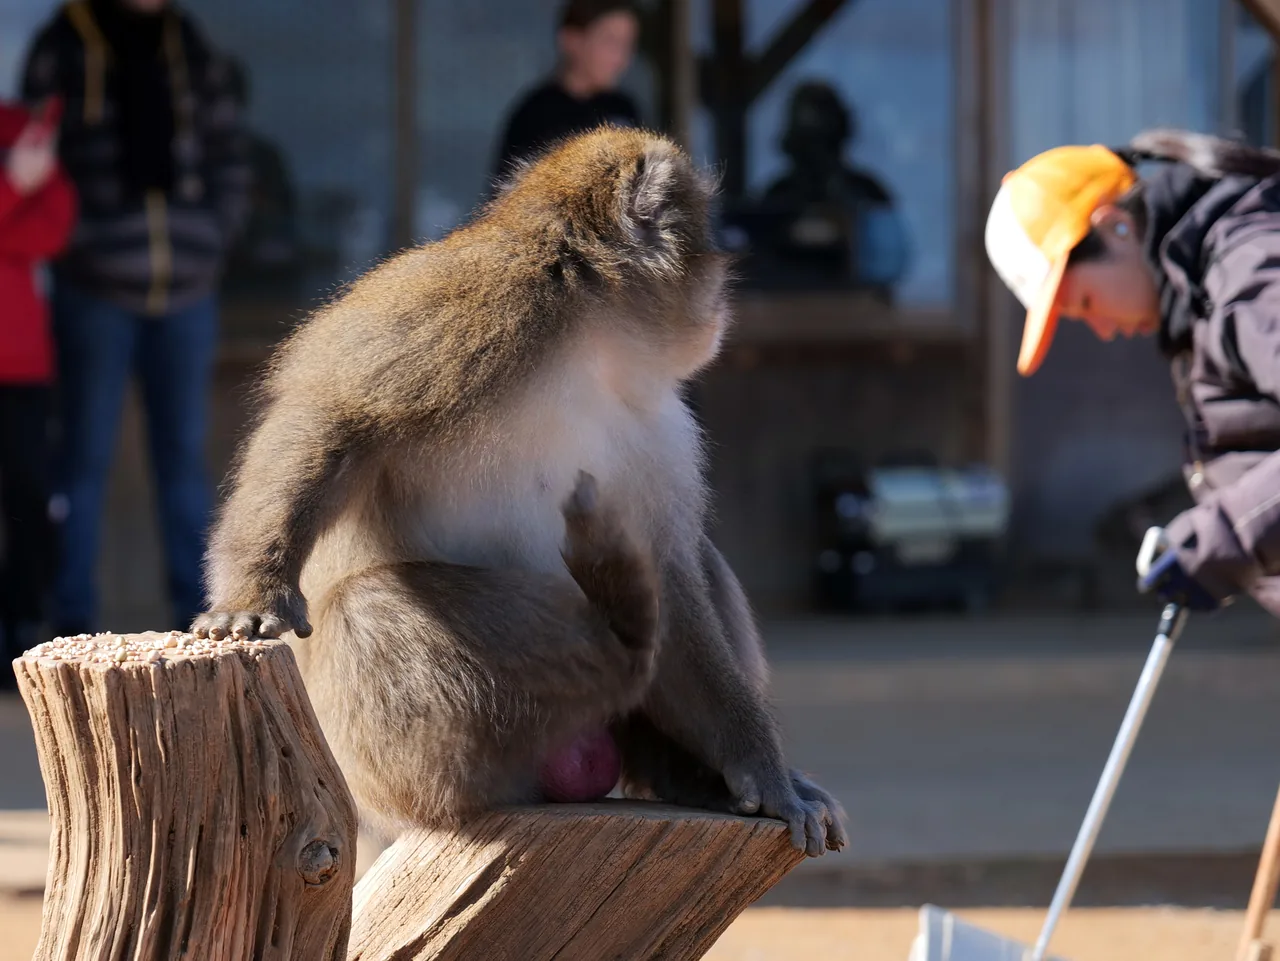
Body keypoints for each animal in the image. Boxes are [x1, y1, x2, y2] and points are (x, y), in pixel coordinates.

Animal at [193, 126, 848, 858]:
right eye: (709, 256)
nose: (721, 310)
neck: (589, 338)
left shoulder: (657, 427)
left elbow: (673, 576)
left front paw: (758, 767)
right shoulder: (475, 304)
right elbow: (336, 414)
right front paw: (257, 592)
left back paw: (679, 770)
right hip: (392, 773)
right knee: (369, 609)